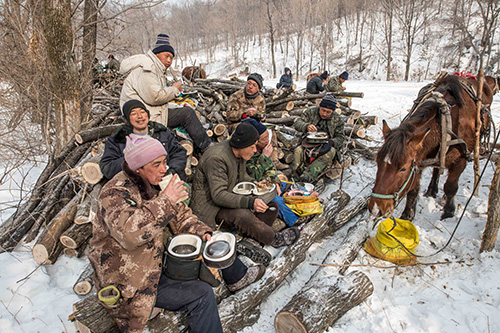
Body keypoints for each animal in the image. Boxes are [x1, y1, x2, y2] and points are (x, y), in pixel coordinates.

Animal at [370, 74, 494, 219]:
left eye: (403, 168)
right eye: (377, 162)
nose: (376, 209)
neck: (443, 124)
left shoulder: (461, 160)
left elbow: (450, 187)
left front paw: (448, 212)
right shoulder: (418, 161)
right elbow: (412, 190)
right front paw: (407, 215)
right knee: (437, 168)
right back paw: (432, 190)